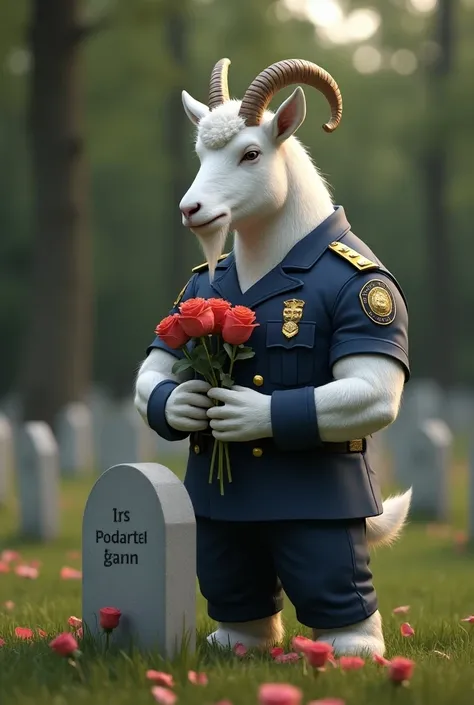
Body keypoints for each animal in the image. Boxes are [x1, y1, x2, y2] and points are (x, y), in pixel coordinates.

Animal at [134, 59, 412, 656]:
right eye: (200, 153)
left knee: (331, 578)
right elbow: (156, 372)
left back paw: (352, 649)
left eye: (251, 154)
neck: (274, 259)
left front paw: (243, 414)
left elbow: (373, 391)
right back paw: (237, 642)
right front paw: (188, 404)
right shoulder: (183, 307)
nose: (191, 209)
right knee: (232, 575)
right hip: (219, 540)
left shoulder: (371, 294)